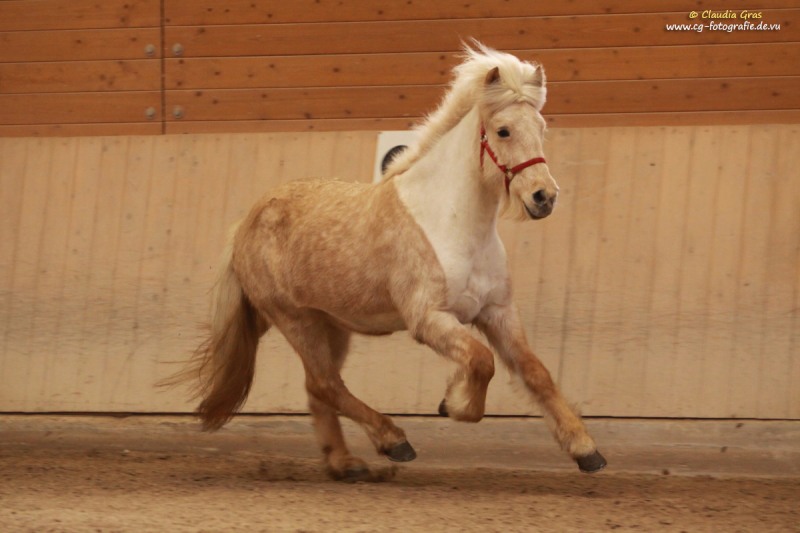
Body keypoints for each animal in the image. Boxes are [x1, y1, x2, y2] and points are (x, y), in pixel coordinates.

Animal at [170, 42, 606, 481]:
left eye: (541, 127)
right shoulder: (429, 319)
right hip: (296, 320)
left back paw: (346, 464)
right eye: (503, 130)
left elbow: (536, 373)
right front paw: (453, 403)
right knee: (327, 384)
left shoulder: (498, 312)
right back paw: (393, 441)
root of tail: (245, 224)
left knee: (318, 389)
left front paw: (586, 450)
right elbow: (482, 362)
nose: (543, 197)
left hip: (331, 324)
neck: (452, 223)